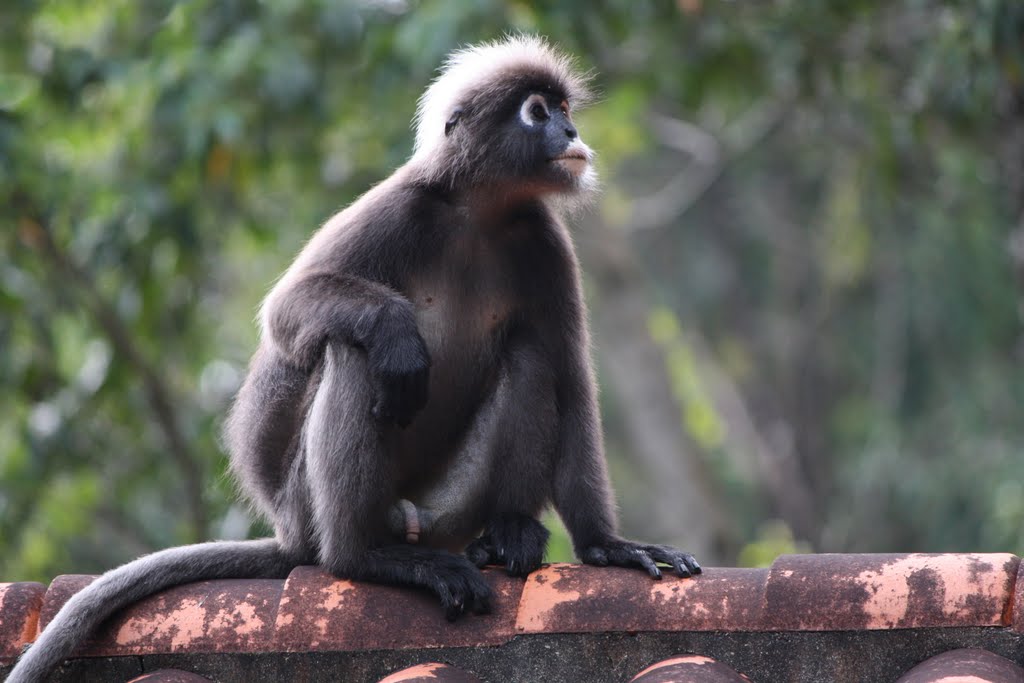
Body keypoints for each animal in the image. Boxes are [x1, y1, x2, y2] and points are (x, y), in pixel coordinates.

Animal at [8, 33, 700, 683]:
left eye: (563, 110)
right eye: (538, 112)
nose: (571, 133)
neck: (481, 213)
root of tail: (290, 533)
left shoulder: (543, 240)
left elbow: (573, 379)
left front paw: (608, 547)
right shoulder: (402, 206)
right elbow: (286, 312)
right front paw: (395, 331)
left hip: (448, 506)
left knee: (529, 355)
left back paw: (507, 531)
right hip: (311, 500)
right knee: (354, 354)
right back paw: (366, 557)